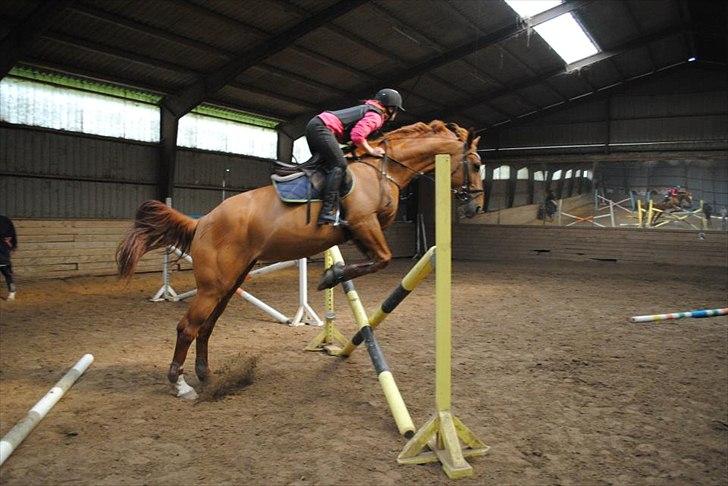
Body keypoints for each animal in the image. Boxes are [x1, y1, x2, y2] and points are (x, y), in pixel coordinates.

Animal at [116, 119, 484, 392]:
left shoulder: (362, 233)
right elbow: (381, 259)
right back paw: (179, 384)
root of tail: (203, 221)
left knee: (205, 327)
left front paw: (333, 276)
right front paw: (330, 277)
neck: (382, 171)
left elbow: (375, 260)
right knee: (187, 328)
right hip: (213, 286)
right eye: (478, 164)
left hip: (230, 283)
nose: (475, 207)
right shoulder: (364, 224)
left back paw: (207, 376)